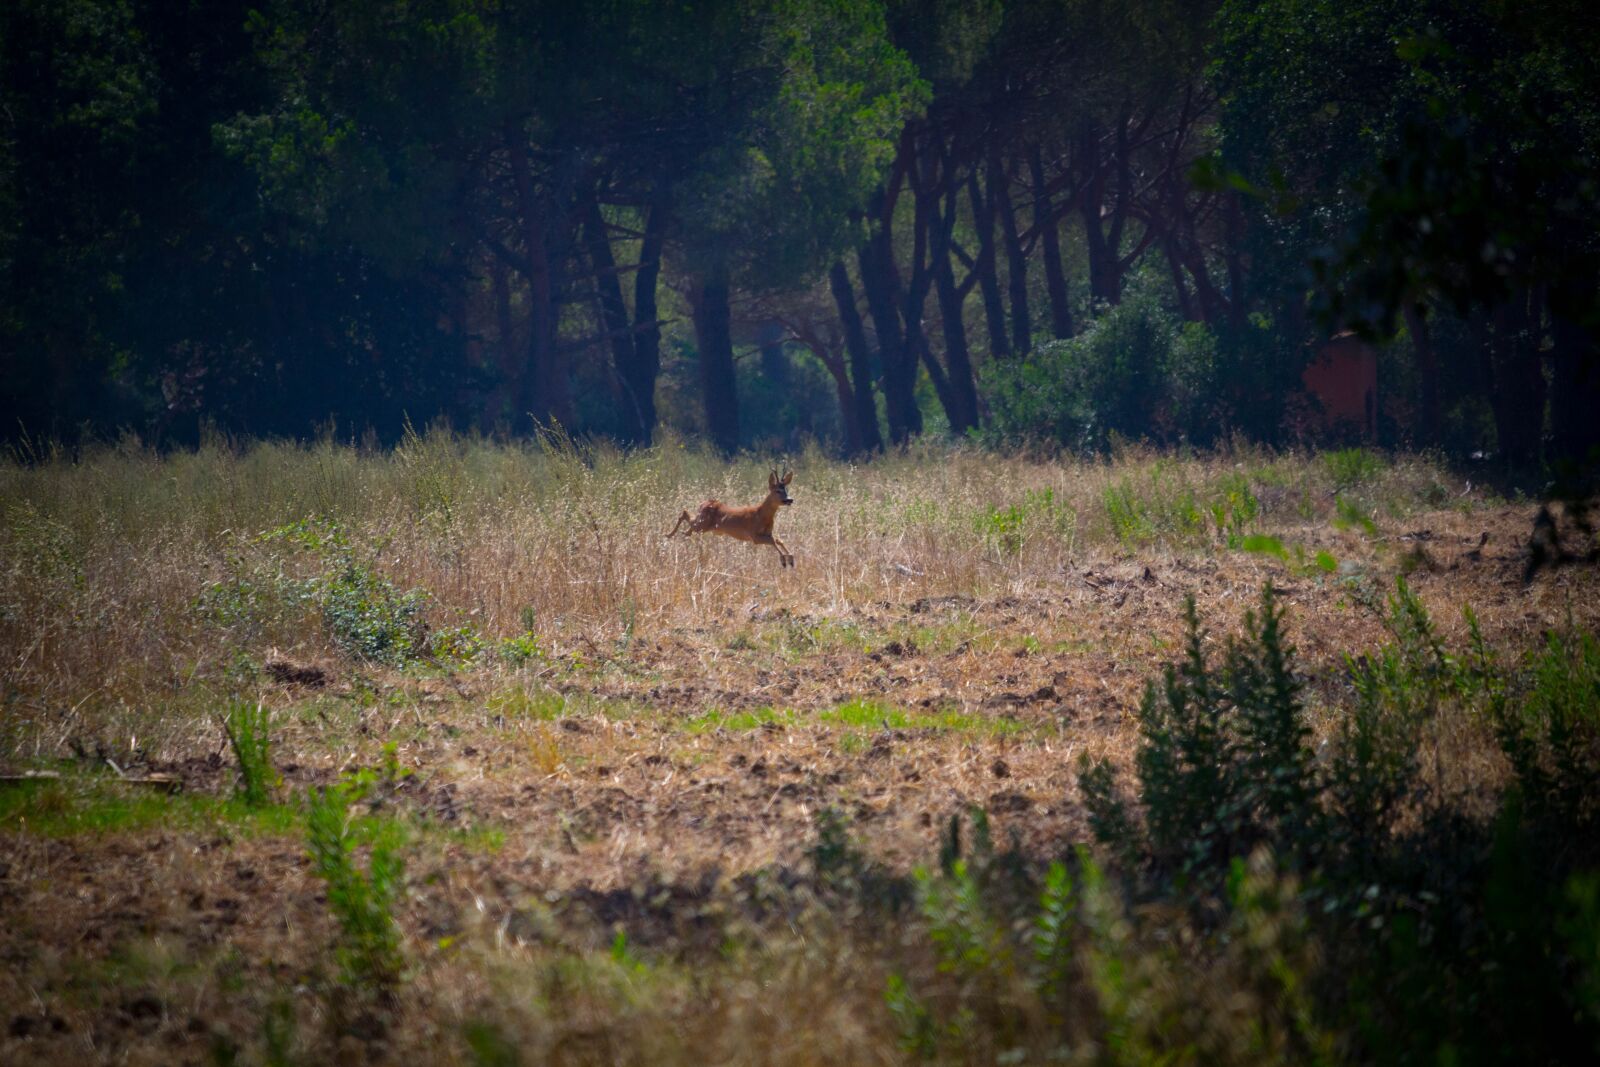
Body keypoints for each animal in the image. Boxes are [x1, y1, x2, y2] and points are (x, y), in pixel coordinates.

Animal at [666, 469, 796, 567]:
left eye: (786, 490)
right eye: (777, 491)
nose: (789, 499)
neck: (761, 515)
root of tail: (703, 503)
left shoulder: (768, 533)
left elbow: (779, 540)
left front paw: (791, 559)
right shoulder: (753, 535)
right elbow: (773, 541)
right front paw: (783, 561)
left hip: (704, 525)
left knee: (688, 522)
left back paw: (682, 533)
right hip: (702, 523)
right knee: (685, 514)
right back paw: (669, 534)